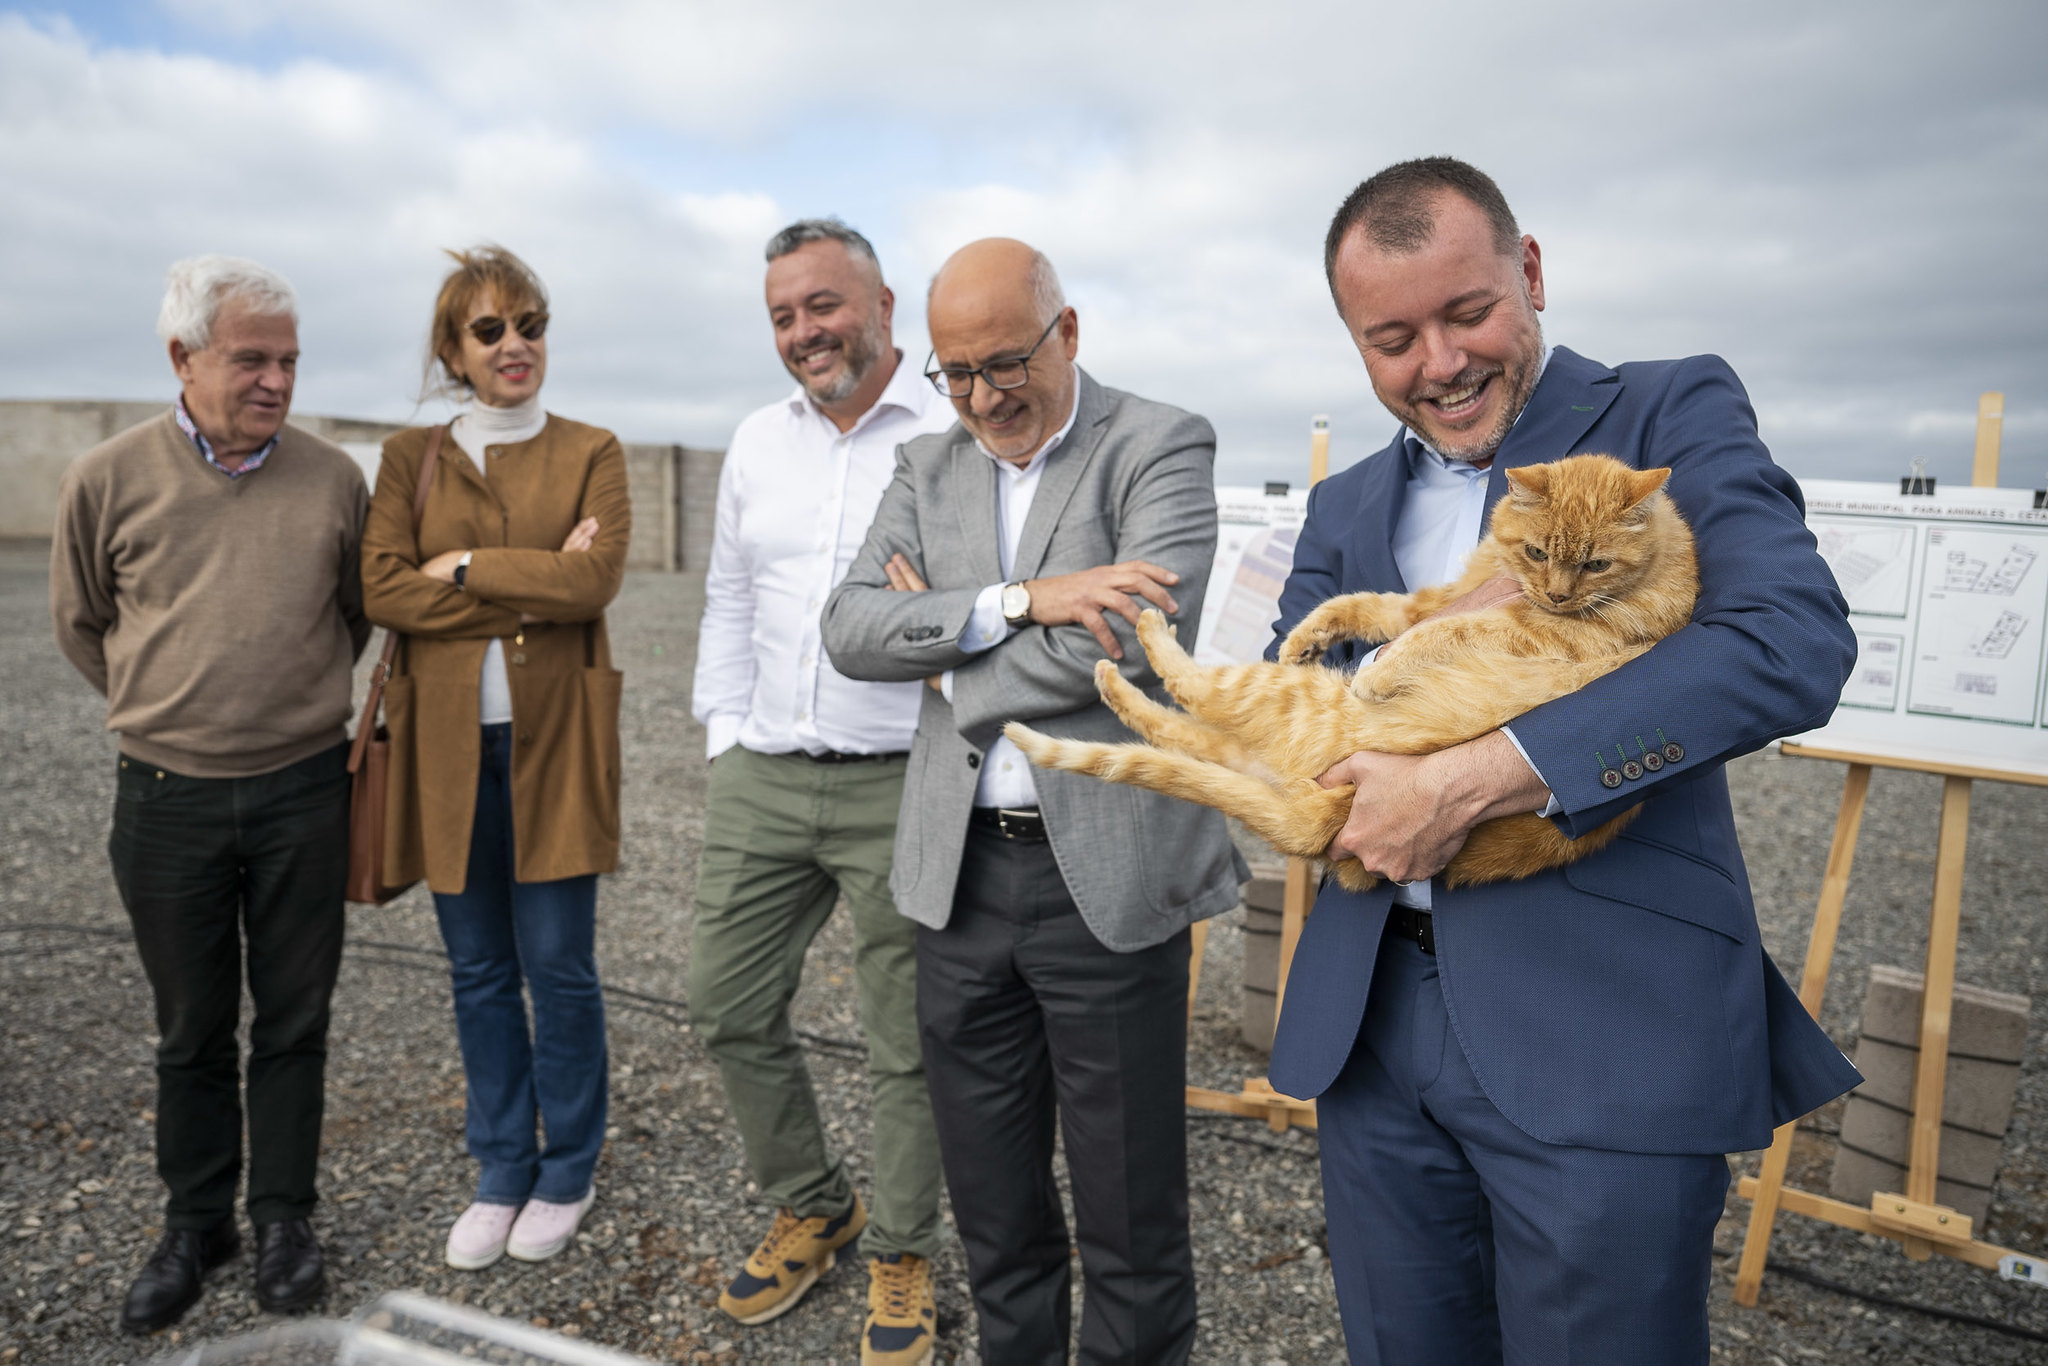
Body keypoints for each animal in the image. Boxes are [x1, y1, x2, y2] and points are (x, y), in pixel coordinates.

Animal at [1003, 454, 1695, 892]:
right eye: (1537, 551)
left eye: (1596, 564)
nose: (1556, 594)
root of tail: (1318, 820)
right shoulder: (1436, 597)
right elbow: (1364, 604)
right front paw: (1304, 638)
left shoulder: (1527, 630)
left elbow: (1437, 634)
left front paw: (1377, 674)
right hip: (1256, 740)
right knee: (1180, 728)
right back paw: (1121, 671)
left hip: (1287, 706)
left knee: (1193, 691)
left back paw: (1144, 629)